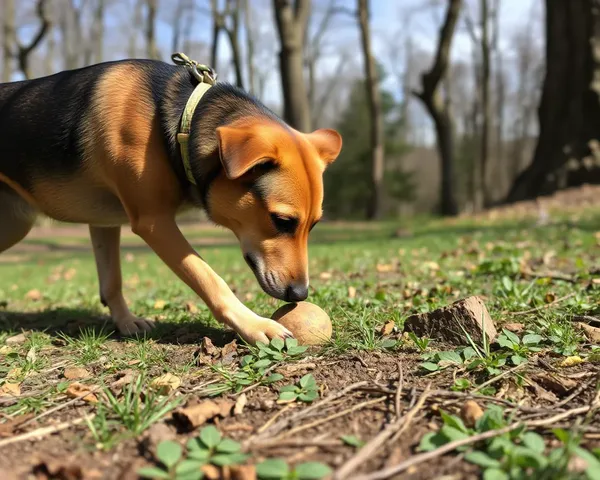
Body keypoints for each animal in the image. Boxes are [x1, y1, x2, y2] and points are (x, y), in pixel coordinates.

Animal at [0, 54, 342, 344]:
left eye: (314, 225)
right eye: (282, 221)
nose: (300, 294)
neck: (181, 121)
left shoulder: (104, 224)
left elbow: (112, 280)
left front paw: (125, 322)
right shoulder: (154, 223)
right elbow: (209, 278)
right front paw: (254, 325)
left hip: (15, 225)